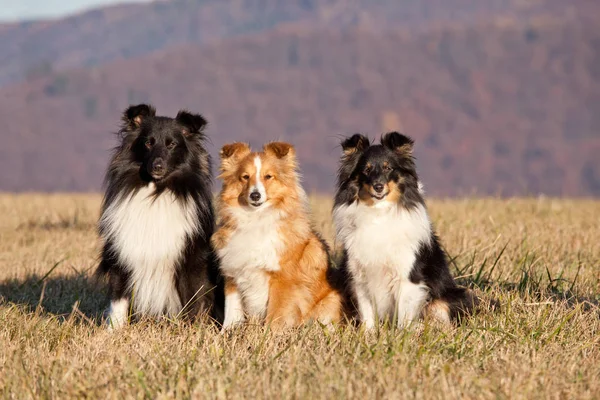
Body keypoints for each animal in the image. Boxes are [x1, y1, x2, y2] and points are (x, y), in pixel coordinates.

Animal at [97, 104, 224, 328]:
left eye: (172, 144)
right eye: (148, 142)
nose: (158, 166)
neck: (156, 192)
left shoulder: (191, 258)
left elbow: (194, 301)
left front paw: (193, 330)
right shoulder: (122, 253)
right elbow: (118, 299)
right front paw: (113, 330)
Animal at [332, 132, 478, 328]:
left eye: (388, 168)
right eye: (366, 170)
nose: (378, 187)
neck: (379, 212)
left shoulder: (408, 277)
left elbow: (404, 317)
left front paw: (402, 335)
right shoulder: (360, 277)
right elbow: (367, 315)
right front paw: (368, 334)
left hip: (444, 299)